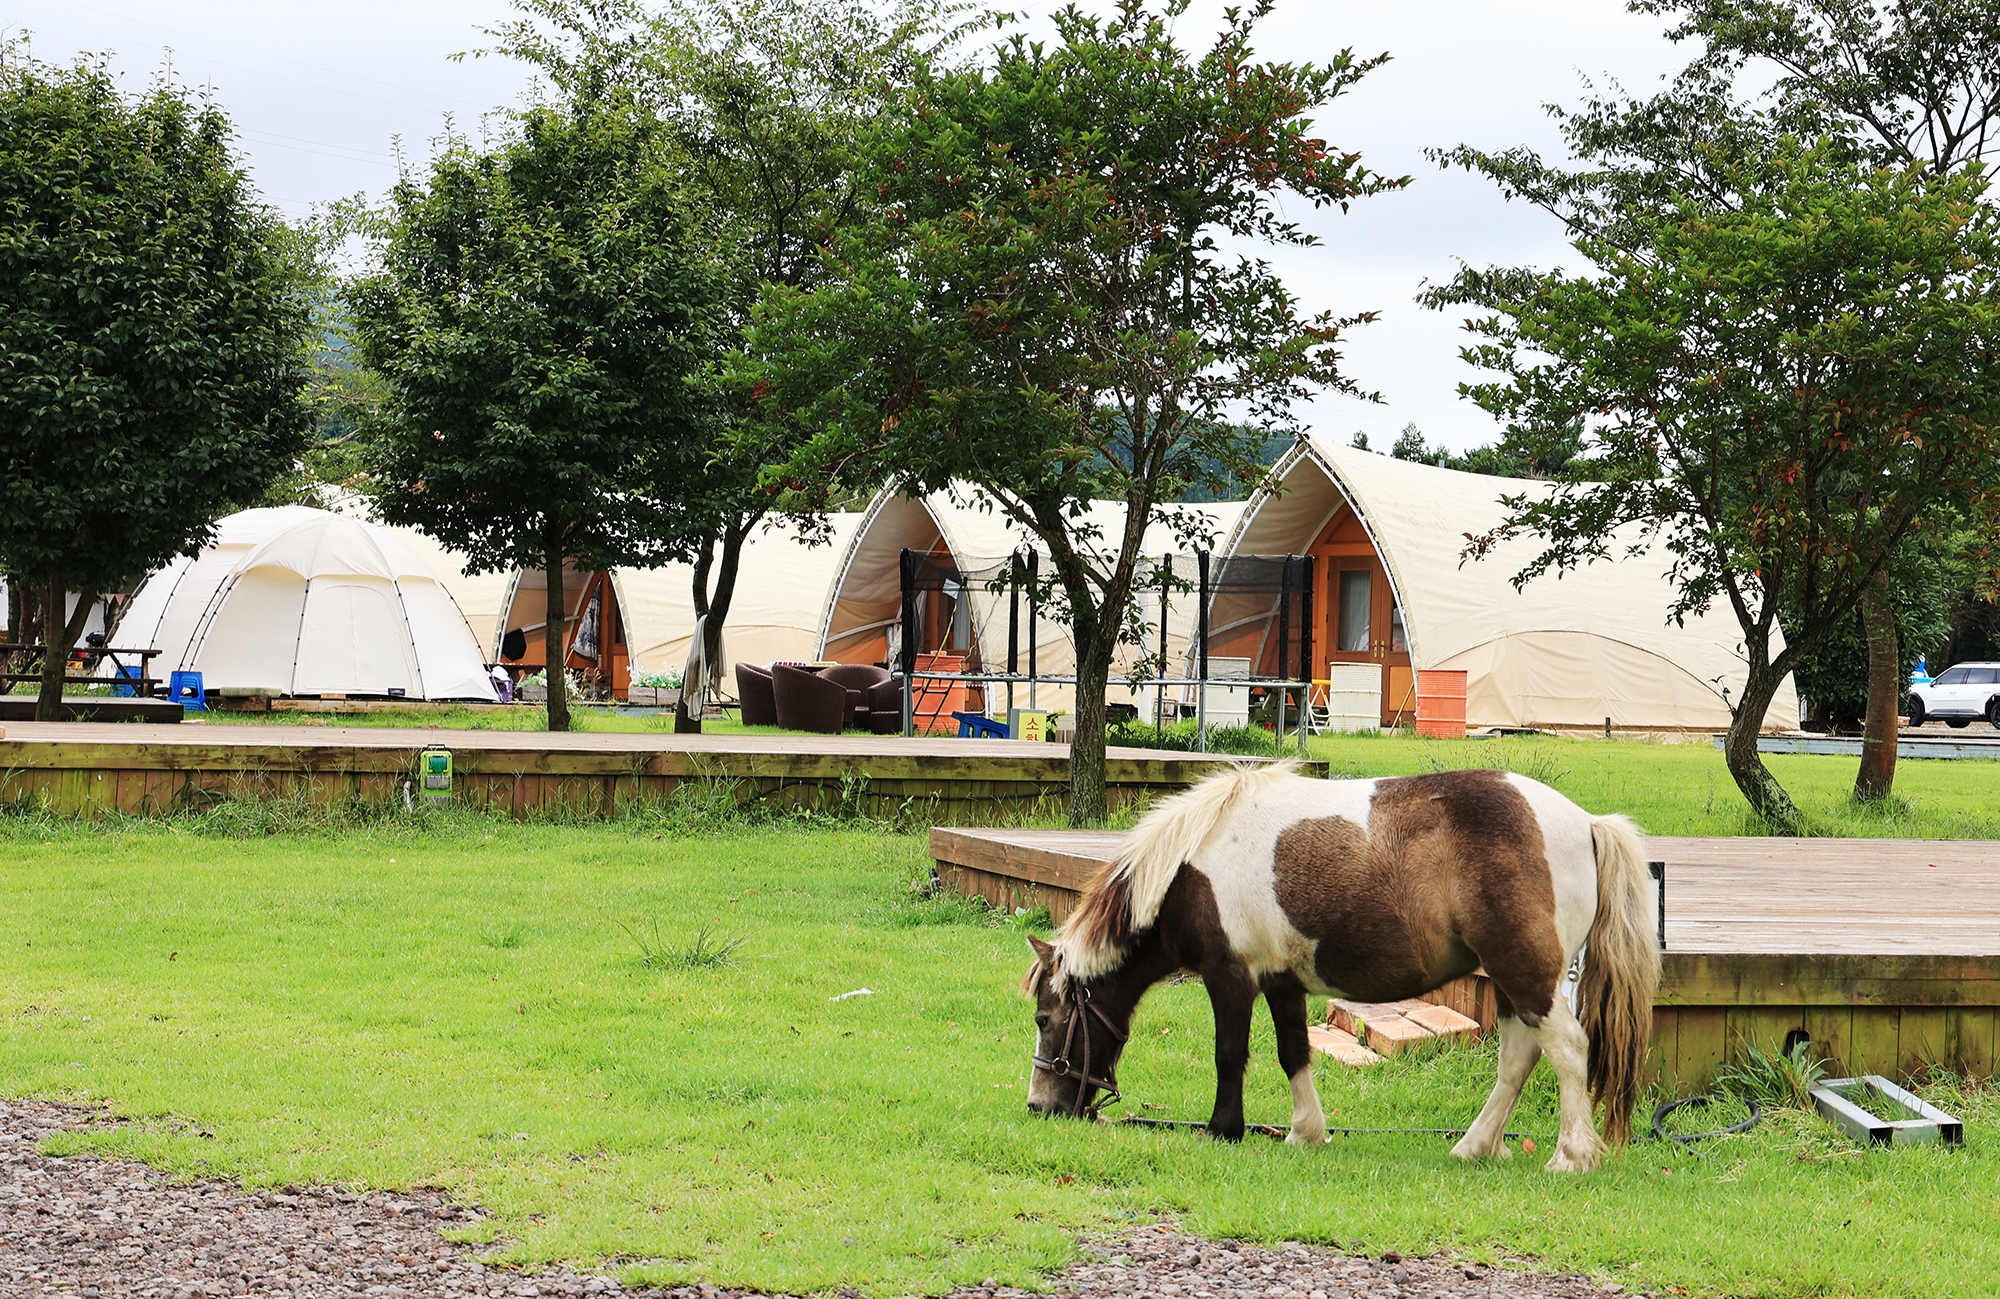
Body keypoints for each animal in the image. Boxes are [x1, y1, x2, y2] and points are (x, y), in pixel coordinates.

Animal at [1024, 763, 1664, 1167]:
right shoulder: (1279, 982)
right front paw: (1306, 1133)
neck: (1192, 866)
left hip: (1525, 975)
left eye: (1045, 1019)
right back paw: (1476, 1147)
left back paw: (1570, 1157)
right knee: (1519, 1058)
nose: (1039, 1107)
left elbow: (1230, 1053)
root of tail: (1587, 822)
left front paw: (1223, 1130)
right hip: (1513, 981)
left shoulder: (1229, 976)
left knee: (1568, 1050)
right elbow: (1293, 1052)